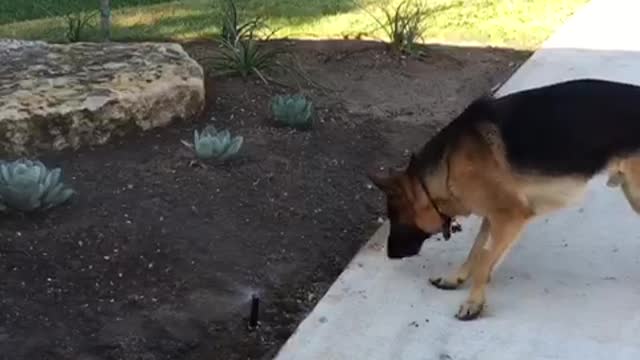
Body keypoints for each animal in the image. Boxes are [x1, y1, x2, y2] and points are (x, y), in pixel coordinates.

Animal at [370, 79, 640, 320]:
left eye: (395, 217)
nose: (390, 254)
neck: (447, 164)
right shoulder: (492, 216)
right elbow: (477, 250)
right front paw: (456, 278)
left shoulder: (510, 216)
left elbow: (483, 261)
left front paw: (474, 302)